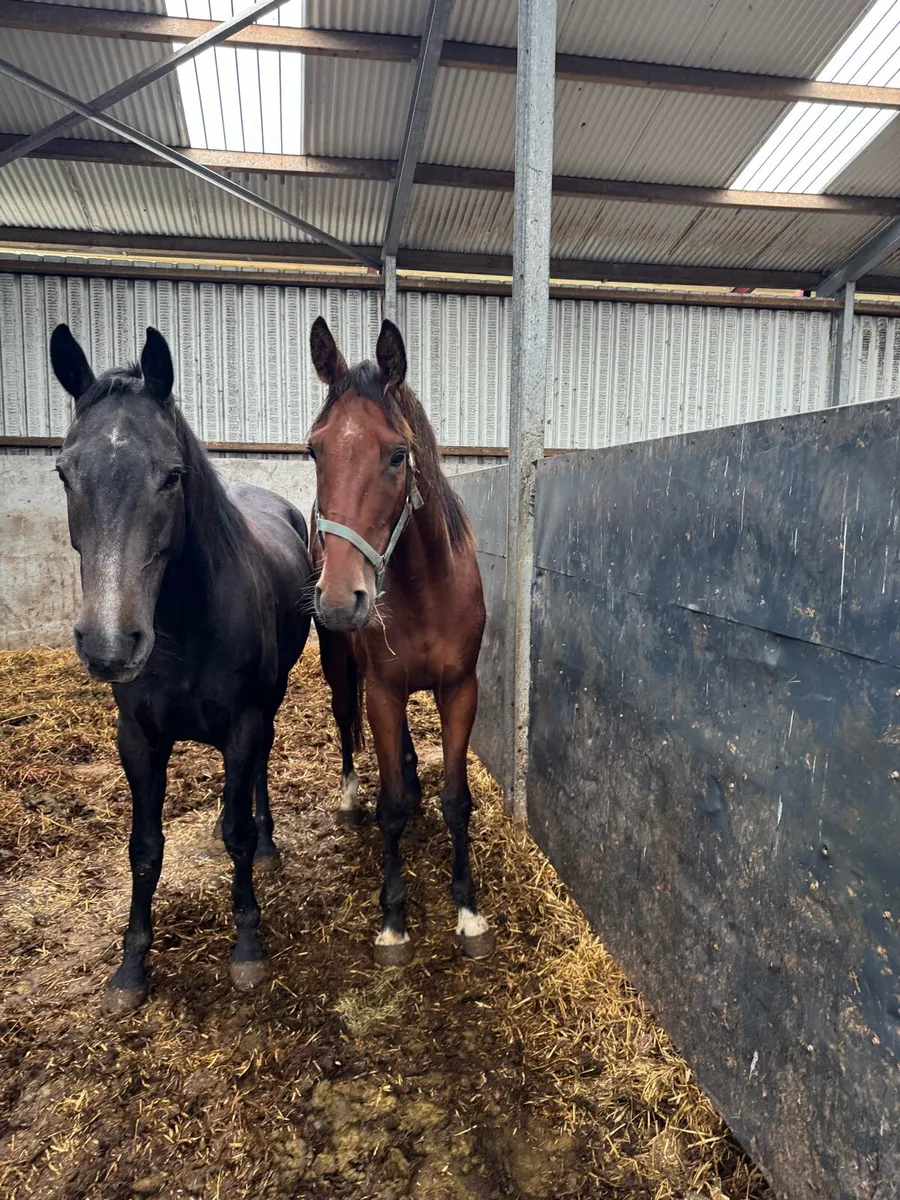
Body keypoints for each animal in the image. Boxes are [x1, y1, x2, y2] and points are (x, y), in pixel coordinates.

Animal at [49, 324, 313, 1014]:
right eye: (64, 472)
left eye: (171, 476)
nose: (110, 643)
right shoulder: (138, 739)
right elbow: (144, 849)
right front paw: (130, 966)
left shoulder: (245, 724)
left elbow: (238, 831)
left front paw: (247, 948)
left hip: (268, 706)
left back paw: (270, 846)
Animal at [307, 316, 494, 966]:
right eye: (314, 449)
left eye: (396, 454)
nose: (342, 600)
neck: (423, 587)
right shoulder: (382, 693)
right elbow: (389, 807)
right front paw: (394, 921)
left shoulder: (459, 690)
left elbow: (457, 799)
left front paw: (468, 912)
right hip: (342, 669)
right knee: (345, 719)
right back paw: (350, 798)